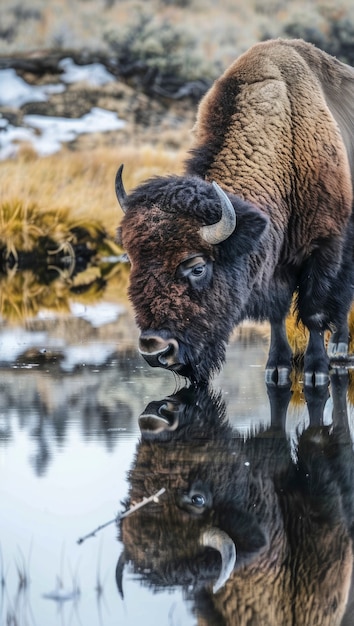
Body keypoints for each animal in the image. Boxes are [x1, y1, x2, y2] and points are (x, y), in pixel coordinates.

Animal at [115, 40, 354, 386]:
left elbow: (314, 312)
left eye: (197, 267)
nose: (154, 349)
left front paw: (316, 371)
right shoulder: (273, 267)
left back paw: (339, 349)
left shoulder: (324, 247)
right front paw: (277, 368)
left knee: (344, 295)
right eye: (133, 262)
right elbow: (277, 314)